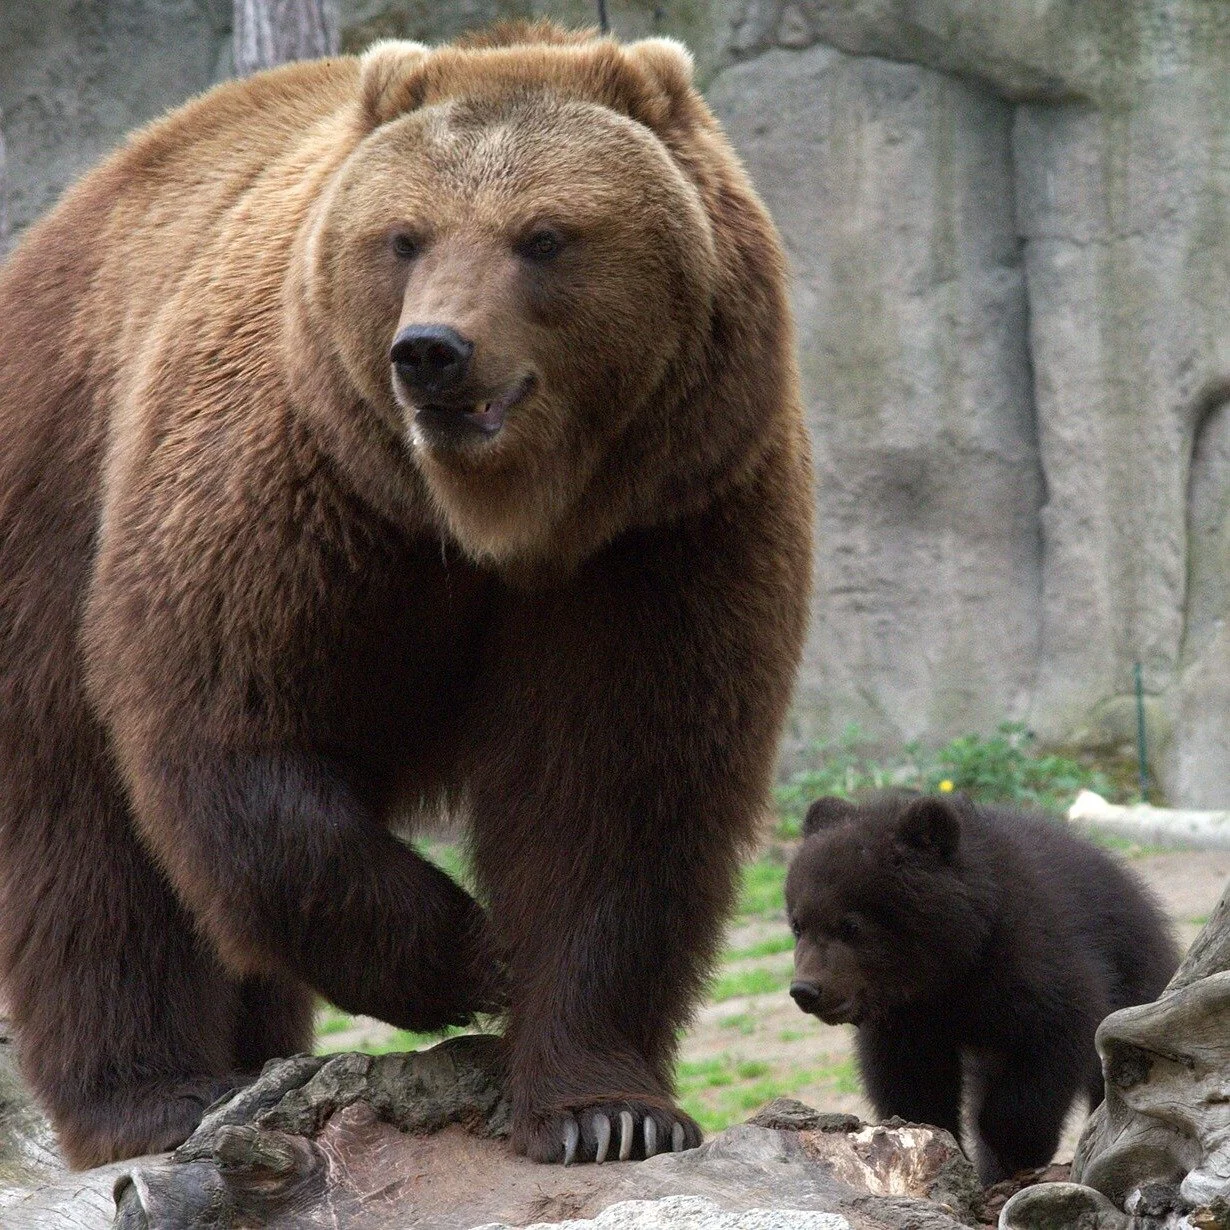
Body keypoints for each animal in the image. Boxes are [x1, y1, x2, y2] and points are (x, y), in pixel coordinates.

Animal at [0, 21, 813, 1168]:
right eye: (404, 237)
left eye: (544, 235)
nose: (432, 352)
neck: (495, 520)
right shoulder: (299, 491)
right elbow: (235, 735)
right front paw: (470, 954)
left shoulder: (662, 527)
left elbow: (619, 789)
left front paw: (606, 1110)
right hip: (56, 493)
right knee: (84, 828)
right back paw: (159, 1096)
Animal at [784, 793, 1179, 1184]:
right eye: (798, 925)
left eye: (849, 925)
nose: (805, 990)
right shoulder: (907, 1017)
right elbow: (911, 1079)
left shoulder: (1034, 961)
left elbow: (1054, 1036)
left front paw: (1016, 1145)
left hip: (1134, 977)